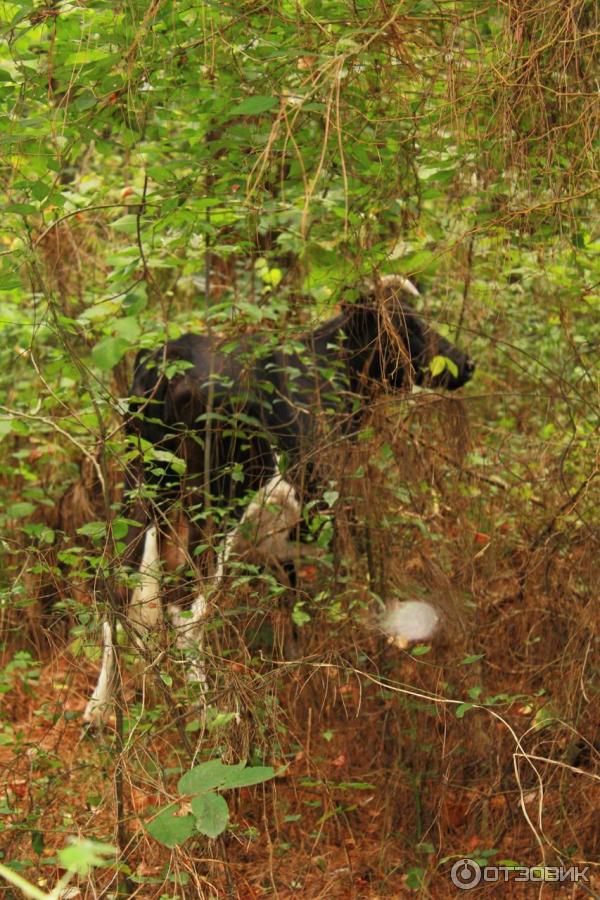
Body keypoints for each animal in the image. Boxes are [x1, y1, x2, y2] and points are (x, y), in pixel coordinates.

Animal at [83, 277, 474, 726]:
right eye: (406, 323)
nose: (466, 363)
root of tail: (173, 356)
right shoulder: (325, 493)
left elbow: (289, 587)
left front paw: (293, 662)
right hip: (223, 498)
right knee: (185, 601)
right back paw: (208, 713)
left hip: (144, 485)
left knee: (115, 585)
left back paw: (101, 707)